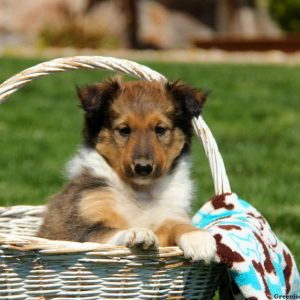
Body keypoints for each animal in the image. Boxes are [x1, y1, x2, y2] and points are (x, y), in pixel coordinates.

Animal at [38, 78, 216, 262]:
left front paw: (198, 238)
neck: (141, 190)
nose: (143, 168)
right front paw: (138, 232)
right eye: (124, 130)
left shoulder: (171, 215)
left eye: (160, 129)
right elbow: (110, 232)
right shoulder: (80, 228)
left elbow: (178, 224)